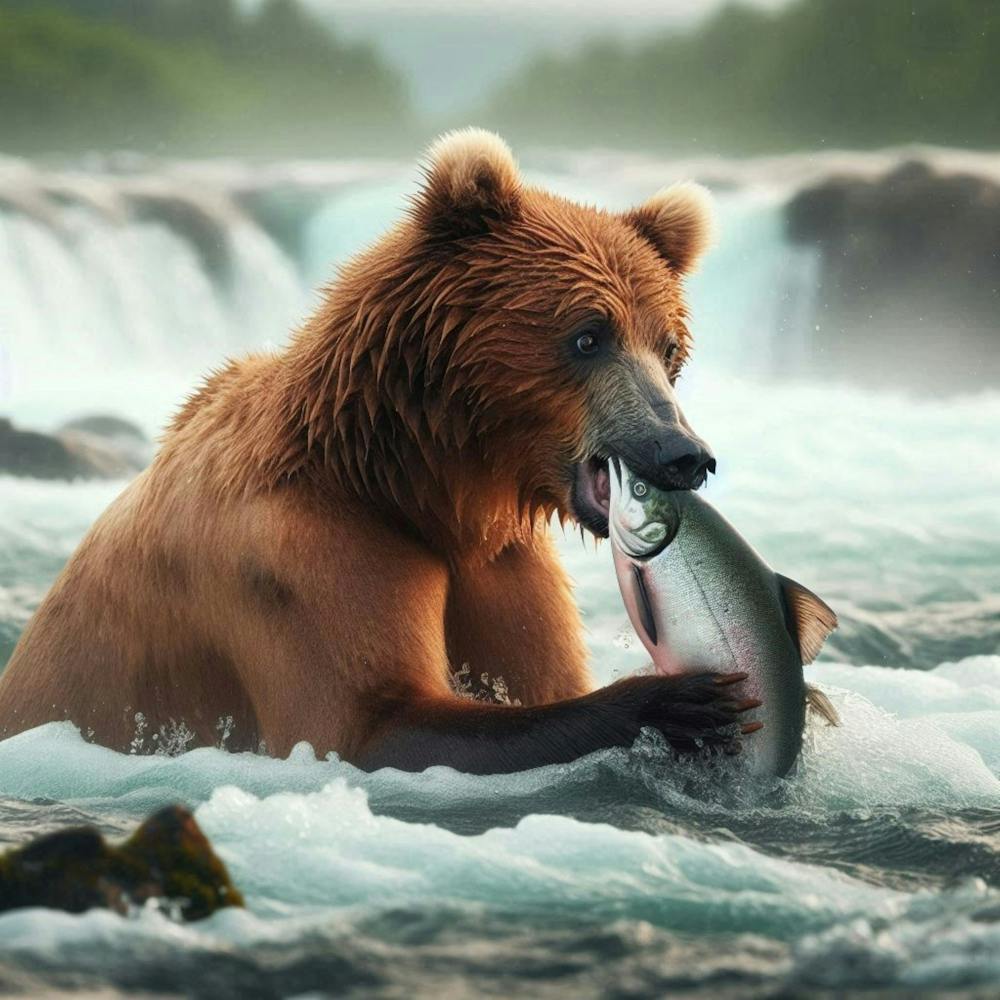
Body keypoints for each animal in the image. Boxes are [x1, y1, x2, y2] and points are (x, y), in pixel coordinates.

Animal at [0, 129, 758, 772]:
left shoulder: (503, 565)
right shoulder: (302, 554)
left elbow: (536, 672)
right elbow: (367, 724)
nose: (681, 452)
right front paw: (680, 699)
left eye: (668, 349)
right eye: (588, 334)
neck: (409, 483)